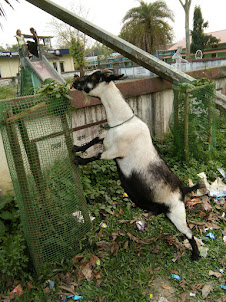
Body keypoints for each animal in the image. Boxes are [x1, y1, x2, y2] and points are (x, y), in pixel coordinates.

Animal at [72, 69, 201, 260]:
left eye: (95, 77)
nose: (75, 81)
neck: (122, 122)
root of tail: (183, 188)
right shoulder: (105, 139)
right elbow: (93, 140)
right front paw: (76, 148)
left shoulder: (115, 152)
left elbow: (97, 155)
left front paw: (79, 160)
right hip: (168, 213)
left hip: (177, 212)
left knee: (189, 232)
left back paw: (195, 255)